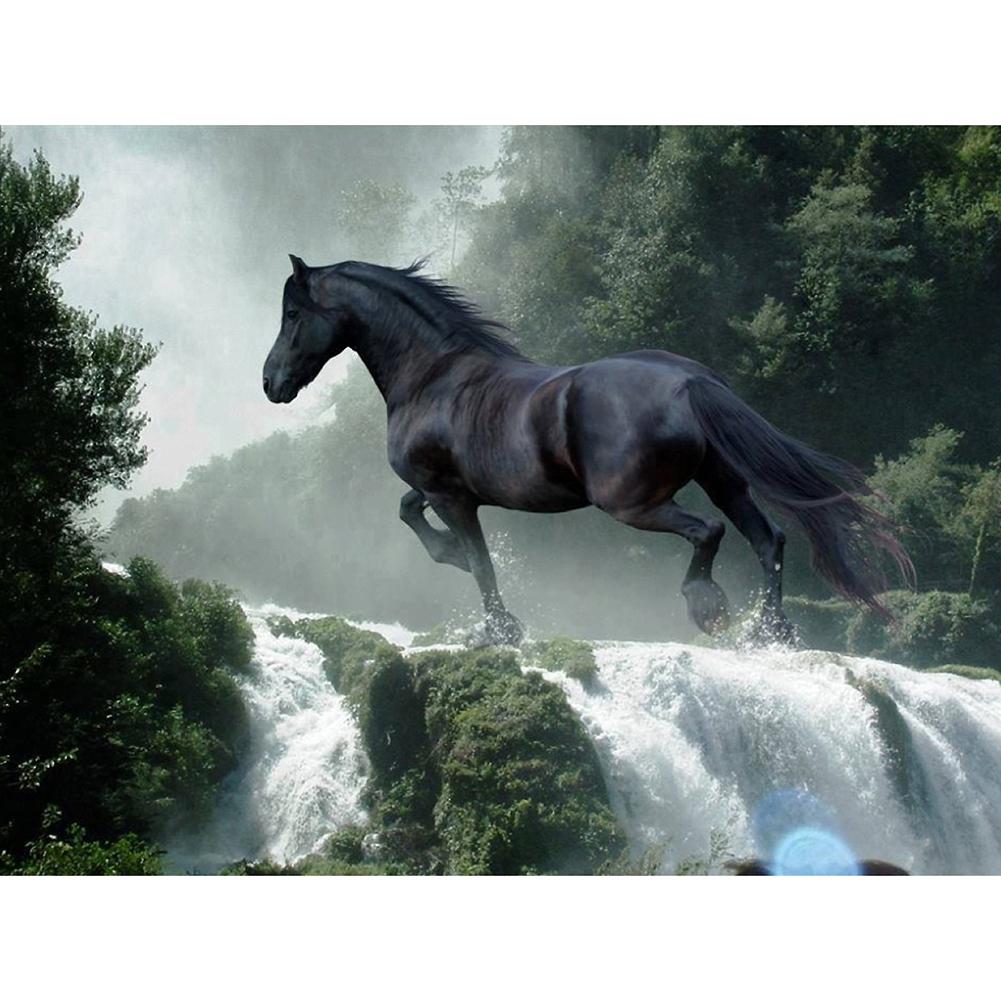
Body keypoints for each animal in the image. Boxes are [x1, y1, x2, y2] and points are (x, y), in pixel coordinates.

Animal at [262, 256, 913, 646]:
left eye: (293, 314)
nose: (271, 383)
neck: (434, 377)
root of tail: (689, 381)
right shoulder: (438, 491)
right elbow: (412, 515)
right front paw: (456, 566)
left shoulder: (452, 496)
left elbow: (478, 561)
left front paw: (499, 630)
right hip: (724, 480)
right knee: (768, 539)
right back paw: (769, 635)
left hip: (632, 503)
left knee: (709, 533)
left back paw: (709, 609)